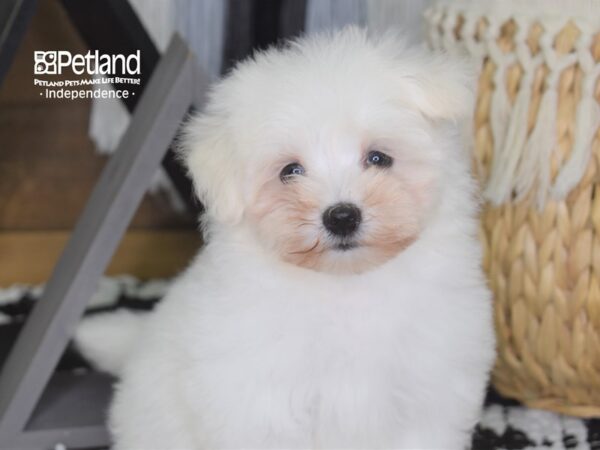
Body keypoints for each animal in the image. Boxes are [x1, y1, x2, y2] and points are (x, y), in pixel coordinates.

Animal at [83, 28, 496, 450]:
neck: (345, 284)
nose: (342, 217)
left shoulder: (429, 391)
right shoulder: (261, 401)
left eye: (379, 158)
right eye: (290, 171)